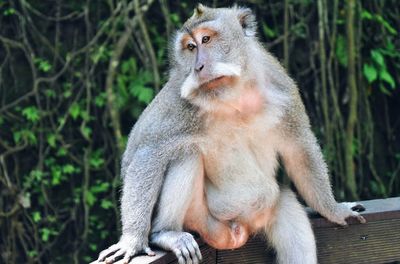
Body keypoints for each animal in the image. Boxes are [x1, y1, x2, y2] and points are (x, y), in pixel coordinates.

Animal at [97, 4, 366, 264]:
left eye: (206, 39)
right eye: (190, 47)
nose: (198, 67)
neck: (233, 97)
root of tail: (237, 233)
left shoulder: (282, 88)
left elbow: (298, 147)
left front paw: (334, 210)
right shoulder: (177, 98)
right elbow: (146, 151)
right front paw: (132, 240)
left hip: (275, 206)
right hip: (204, 220)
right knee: (186, 154)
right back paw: (166, 233)